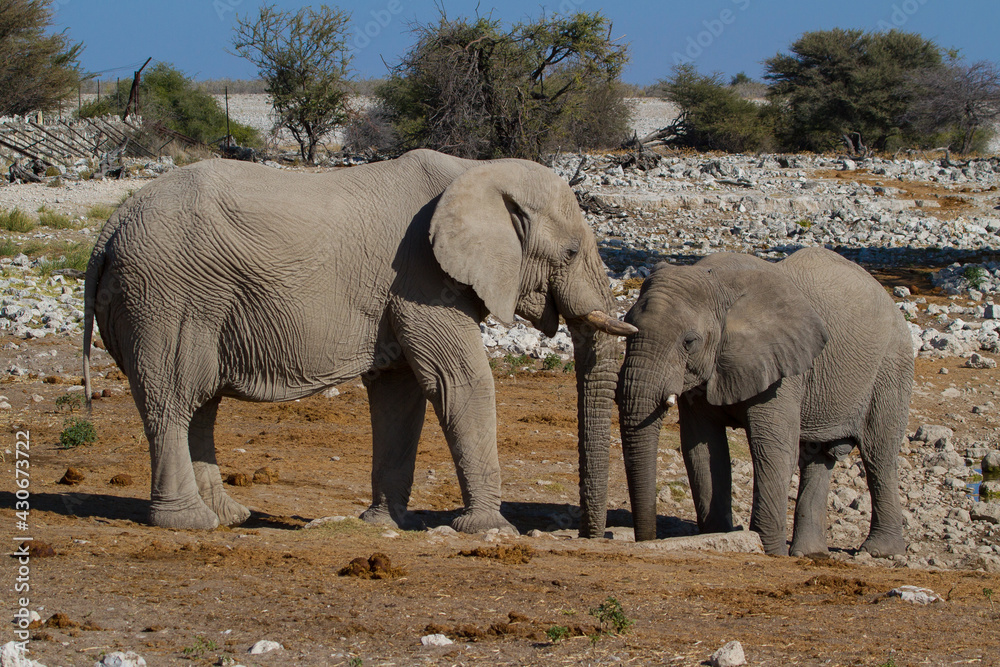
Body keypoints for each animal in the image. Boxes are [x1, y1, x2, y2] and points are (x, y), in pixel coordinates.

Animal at [83, 149, 636, 534]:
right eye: (570, 252)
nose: (594, 535)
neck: (477, 170)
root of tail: (109, 227)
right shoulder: (421, 277)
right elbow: (460, 382)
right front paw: (490, 530)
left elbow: (400, 393)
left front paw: (385, 524)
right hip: (166, 296)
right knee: (174, 399)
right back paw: (190, 522)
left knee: (201, 404)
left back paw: (231, 515)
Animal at [615, 247, 913, 556]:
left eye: (689, 341)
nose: (647, 539)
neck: (717, 282)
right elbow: (703, 449)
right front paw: (719, 537)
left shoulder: (782, 369)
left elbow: (772, 449)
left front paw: (768, 550)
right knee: (817, 455)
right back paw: (810, 553)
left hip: (891, 367)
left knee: (879, 453)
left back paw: (881, 551)